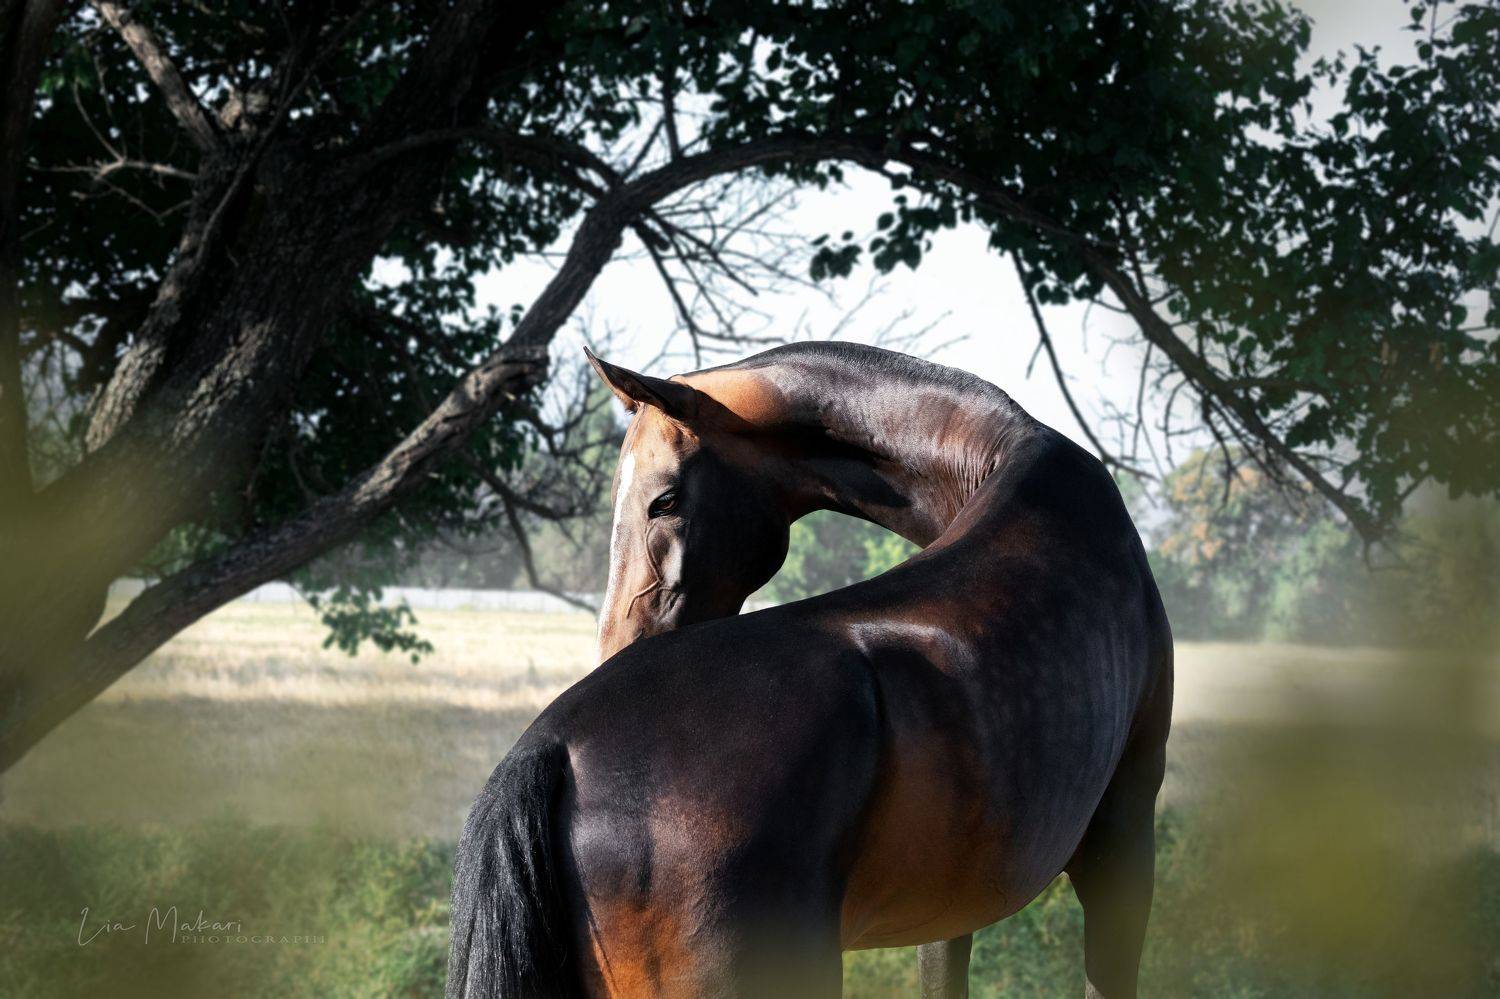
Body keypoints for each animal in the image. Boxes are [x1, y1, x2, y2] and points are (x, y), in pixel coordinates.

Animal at [448, 341, 1173, 998]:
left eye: (665, 499)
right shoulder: (1123, 845)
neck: (1018, 467)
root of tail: (553, 747)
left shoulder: (950, 907)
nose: (619, 642)